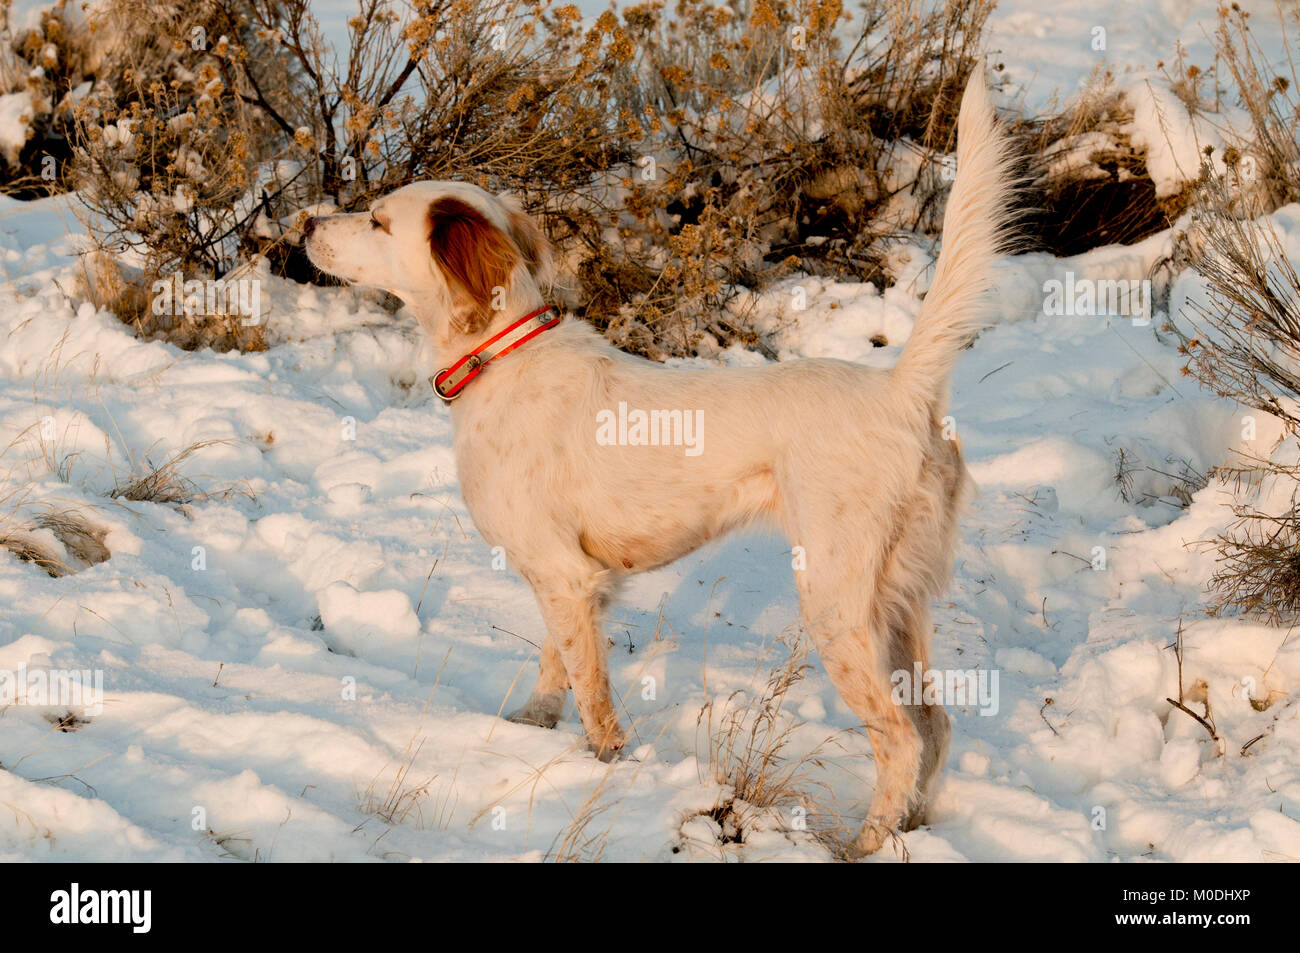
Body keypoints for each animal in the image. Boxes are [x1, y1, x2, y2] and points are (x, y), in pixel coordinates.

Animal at [304, 70, 1013, 852]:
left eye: (376, 221)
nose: (305, 224)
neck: (500, 355)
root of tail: (901, 389)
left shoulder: (563, 573)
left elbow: (592, 694)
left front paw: (604, 765)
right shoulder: (573, 581)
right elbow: (556, 665)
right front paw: (531, 729)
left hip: (838, 600)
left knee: (900, 737)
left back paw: (866, 844)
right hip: (899, 601)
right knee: (935, 725)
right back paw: (914, 827)